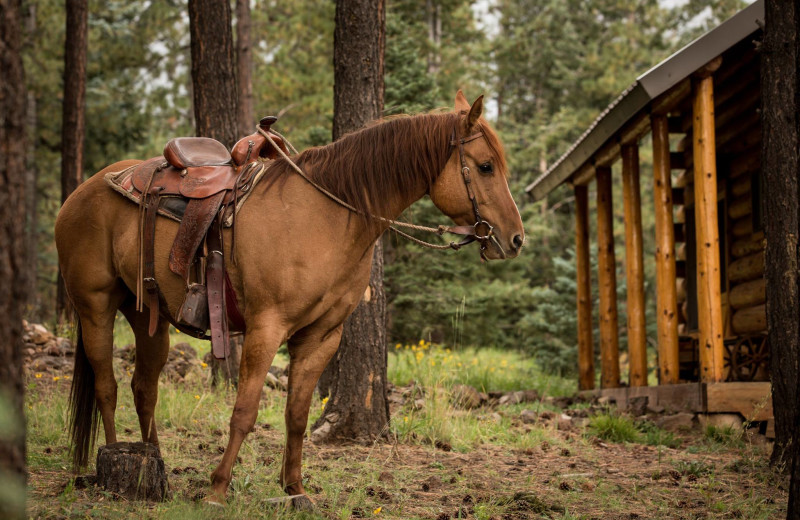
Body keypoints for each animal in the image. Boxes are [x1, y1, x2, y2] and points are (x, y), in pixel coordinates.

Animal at [56, 91, 524, 506]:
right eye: (485, 166)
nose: (516, 239)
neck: (326, 218)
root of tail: (82, 191)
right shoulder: (266, 328)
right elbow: (245, 411)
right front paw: (217, 490)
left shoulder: (322, 337)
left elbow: (297, 416)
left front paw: (295, 489)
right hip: (95, 307)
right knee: (108, 387)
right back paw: (110, 465)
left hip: (148, 315)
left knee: (144, 388)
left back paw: (154, 466)